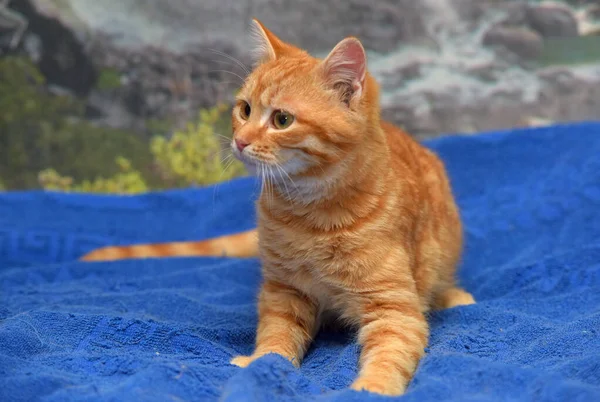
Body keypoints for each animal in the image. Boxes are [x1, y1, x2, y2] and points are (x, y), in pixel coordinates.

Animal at [81, 19, 474, 396]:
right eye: (244, 110)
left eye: (282, 120)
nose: (240, 141)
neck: (310, 212)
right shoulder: (284, 291)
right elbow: (277, 333)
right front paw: (262, 362)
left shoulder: (394, 307)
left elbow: (391, 353)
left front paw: (372, 388)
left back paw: (453, 295)